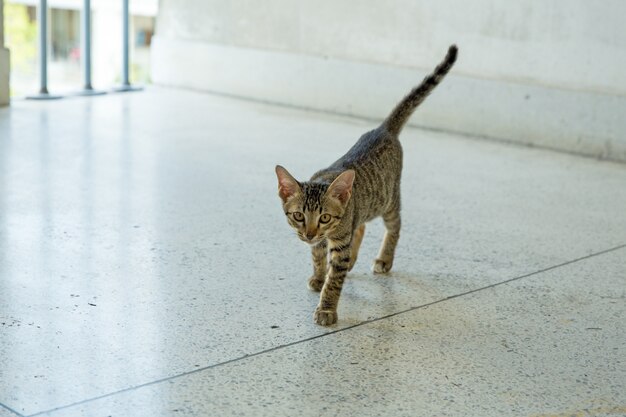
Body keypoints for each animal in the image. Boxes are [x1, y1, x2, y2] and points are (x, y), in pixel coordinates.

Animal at [276, 45, 456, 324]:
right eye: (298, 216)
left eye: (324, 218)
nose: (309, 234)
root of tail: (383, 129)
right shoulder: (322, 241)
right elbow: (318, 257)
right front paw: (318, 276)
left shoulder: (338, 242)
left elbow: (334, 281)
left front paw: (326, 308)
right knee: (359, 227)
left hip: (388, 200)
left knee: (395, 226)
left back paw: (384, 259)